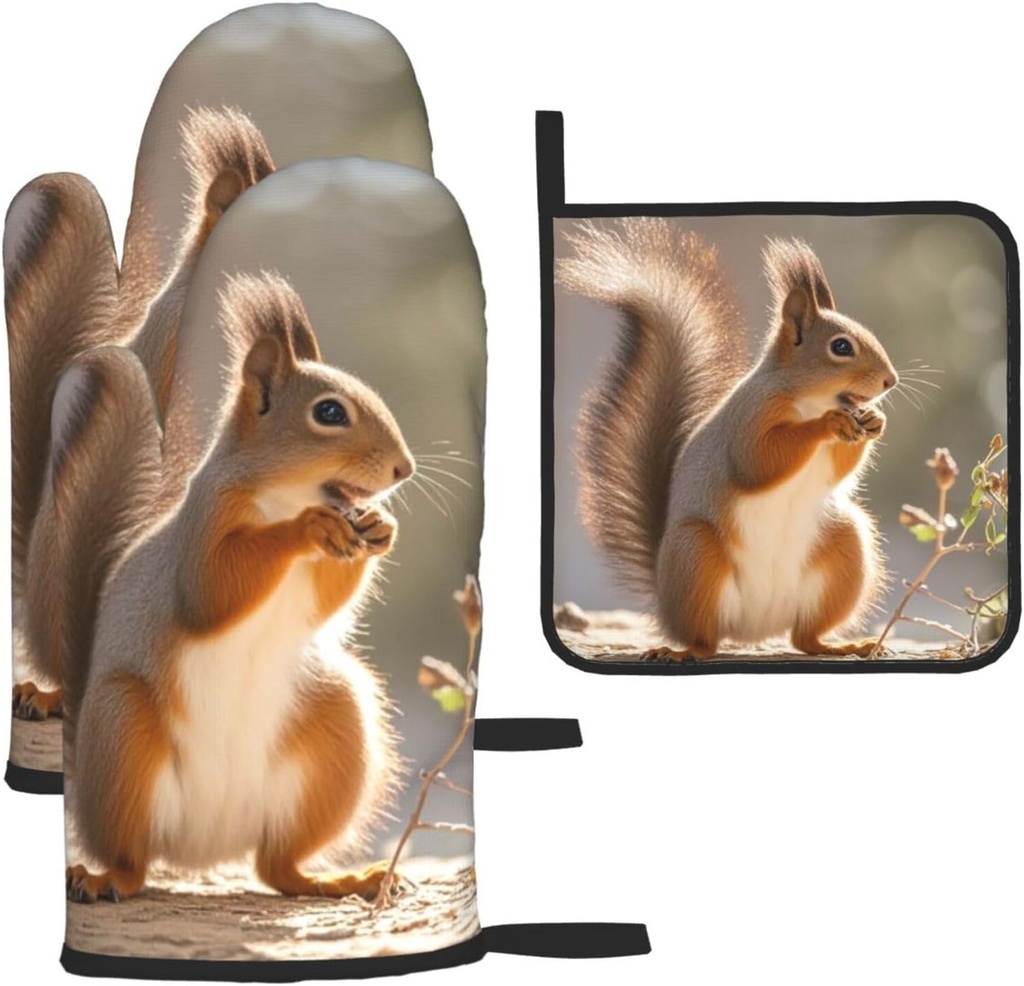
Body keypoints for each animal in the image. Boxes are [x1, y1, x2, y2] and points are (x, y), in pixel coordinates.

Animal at [63, 270, 414, 903]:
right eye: (330, 412)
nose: (405, 469)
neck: (284, 497)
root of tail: (206, 845)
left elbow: (326, 601)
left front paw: (380, 525)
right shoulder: (206, 523)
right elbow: (214, 590)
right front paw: (308, 529)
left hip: (335, 728)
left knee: (278, 867)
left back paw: (342, 879)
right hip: (123, 728)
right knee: (131, 859)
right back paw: (106, 878)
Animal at [558, 218, 899, 660]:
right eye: (841, 346)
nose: (891, 381)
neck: (808, 399)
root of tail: (756, 628)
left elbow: (838, 469)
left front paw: (874, 420)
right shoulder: (749, 419)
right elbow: (760, 461)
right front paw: (827, 424)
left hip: (845, 547)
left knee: (804, 639)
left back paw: (843, 645)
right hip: (696, 554)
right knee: (706, 640)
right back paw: (681, 651)